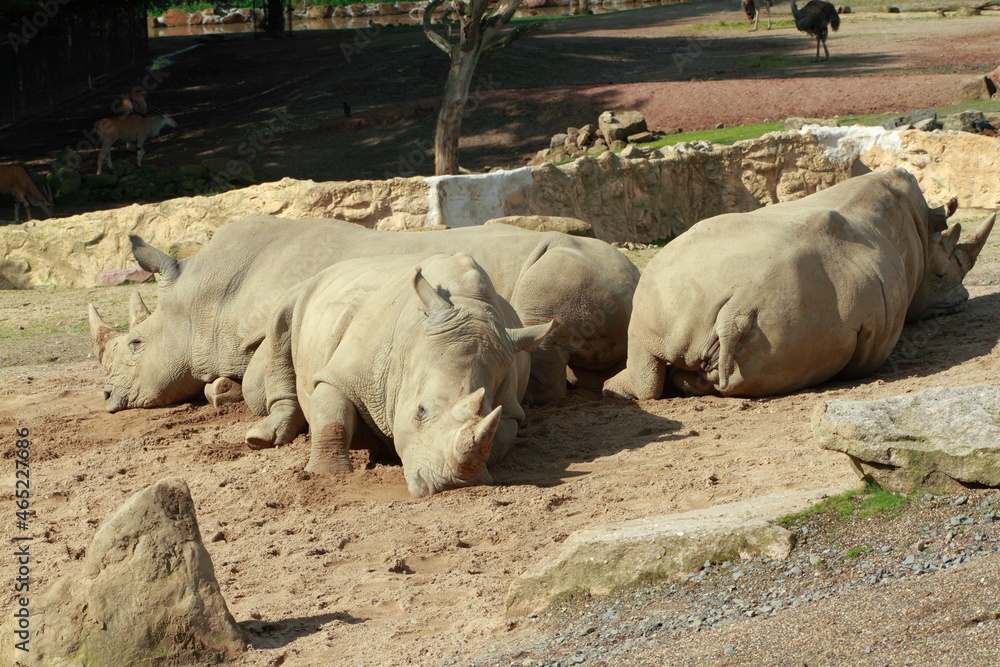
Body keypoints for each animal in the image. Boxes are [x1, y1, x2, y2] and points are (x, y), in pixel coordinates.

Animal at [89, 216, 638, 413]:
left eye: (135, 344)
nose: (107, 397)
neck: (202, 302)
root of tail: (636, 273)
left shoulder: (278, 320)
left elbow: (258, 381)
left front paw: (229, 392)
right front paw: (218, 388)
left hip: (575, 266)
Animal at [245, 253, 551, 497]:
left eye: (489, 410)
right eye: (420, 411)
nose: (449, 484)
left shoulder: (510, 409)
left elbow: (498, 439)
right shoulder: (344, 375)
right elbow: (332, 418)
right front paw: (327, 475)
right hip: (304, 291)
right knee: (280, 323)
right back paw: (261, 439)